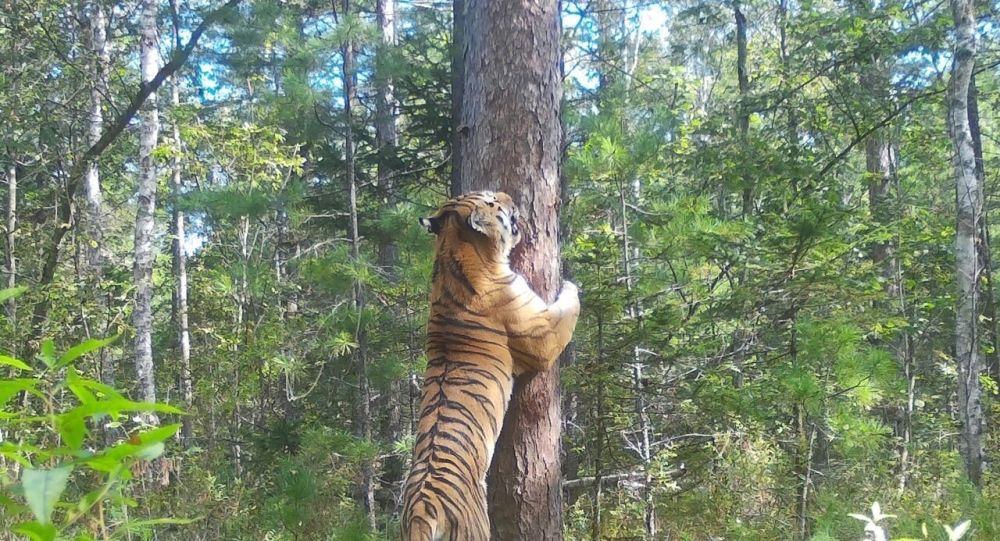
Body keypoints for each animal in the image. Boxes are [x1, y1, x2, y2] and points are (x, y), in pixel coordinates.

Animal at [398, 190, 580, 540]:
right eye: (493, 200)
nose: (510, 196)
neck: (452, 253)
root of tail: (422, 509)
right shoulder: (543, 335)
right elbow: (568, 308)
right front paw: (570, 282)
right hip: (477, 528)